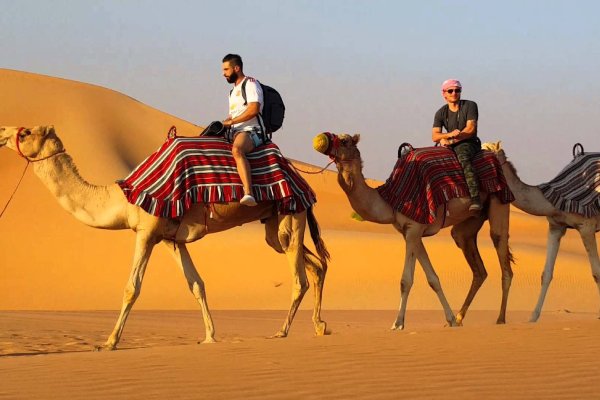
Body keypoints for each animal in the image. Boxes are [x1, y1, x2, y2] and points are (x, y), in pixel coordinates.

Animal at [0, 126, 330, 350]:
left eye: (26, 132)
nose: (3, 131)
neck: (124, 197)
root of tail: (299, 177)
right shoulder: (173, 239)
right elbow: (196, 284)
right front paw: (209, 336)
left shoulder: (146, 231)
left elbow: (131, 288)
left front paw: (109, 341)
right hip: (276, 224)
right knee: (316, 265)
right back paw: (319, 326)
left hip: (291, 214)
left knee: (300, 277)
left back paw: (282, 331)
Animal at [312, 133, 512, 330]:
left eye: (344, 140)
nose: (321, 140)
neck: (390, 200)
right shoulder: (411, 233)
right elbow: (432, 278)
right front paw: (450, 320)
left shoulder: (414, 228)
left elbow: (405, 280)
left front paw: (398, 322)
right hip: (470, 221)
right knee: (476, 264)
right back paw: (461, 317)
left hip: (499, 199)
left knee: (501, 249)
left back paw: (501, 319)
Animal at [482, 141, 600, 322]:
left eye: (485, 150)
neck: (551, 200)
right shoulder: (556, 227)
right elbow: (546, 274)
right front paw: (533, 317)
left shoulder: (586, 226)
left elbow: (596, 273)